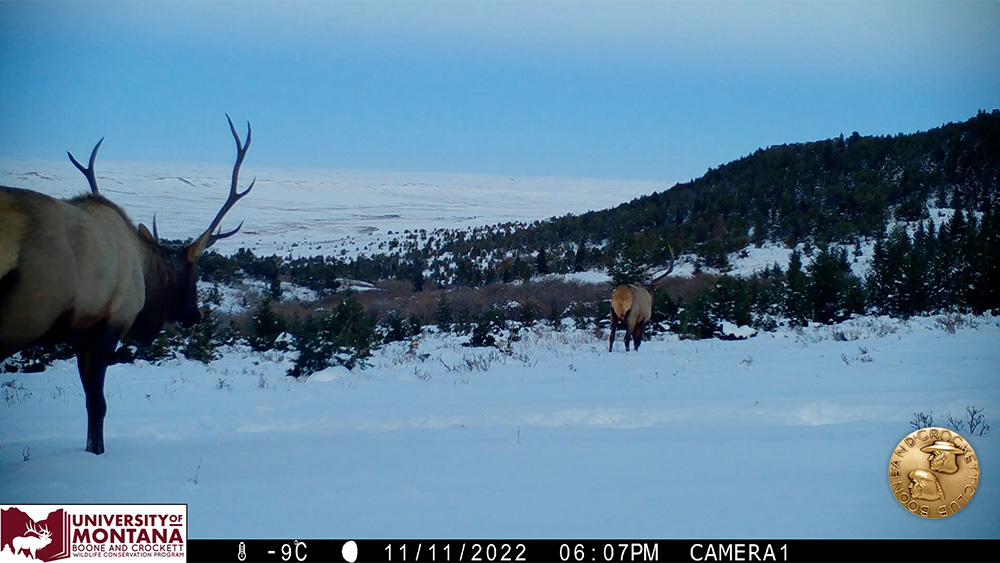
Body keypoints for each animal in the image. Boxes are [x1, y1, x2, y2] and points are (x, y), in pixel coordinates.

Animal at [0, 115, 254, 454]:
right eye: (195, 273)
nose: (194, 316)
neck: (145, 274)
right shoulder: (109, 326)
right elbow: (98, 405)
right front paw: (97, 451)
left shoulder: (81, 335)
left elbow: (91, 403)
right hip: (26, 310)